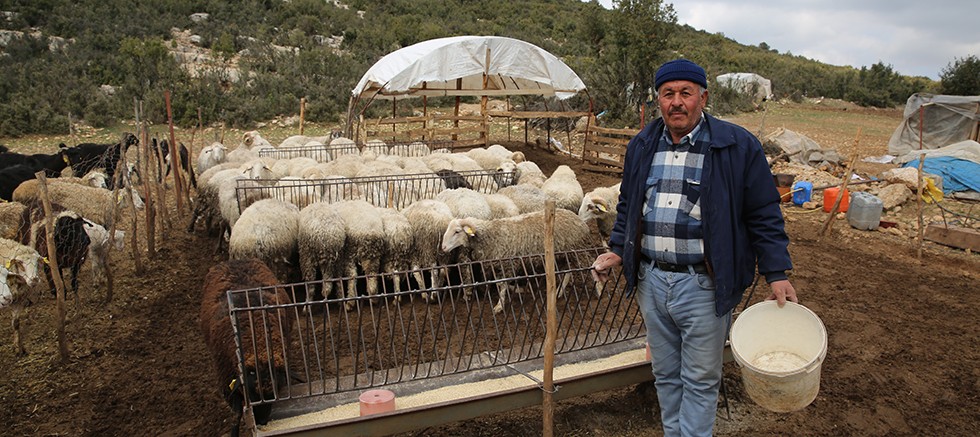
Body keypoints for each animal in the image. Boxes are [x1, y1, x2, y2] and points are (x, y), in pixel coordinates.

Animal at [198, 258, 290, 436]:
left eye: (276, 392)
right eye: (252, 395)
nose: (262, 422)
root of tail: (235, 260)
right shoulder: (227, 380)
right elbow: (236, 413)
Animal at [442, 209, 596, 314]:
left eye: (457, 231)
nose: (443, 248)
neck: (491, 235)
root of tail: (579, 220)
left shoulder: (508, 264)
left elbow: (502, 285)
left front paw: (499, 306)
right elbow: (499, 283)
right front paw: (515, 290)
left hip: (578, 250)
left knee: (591, 264)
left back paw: (598, 288)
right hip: (564, 255)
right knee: (567, 272)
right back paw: (559, 292)